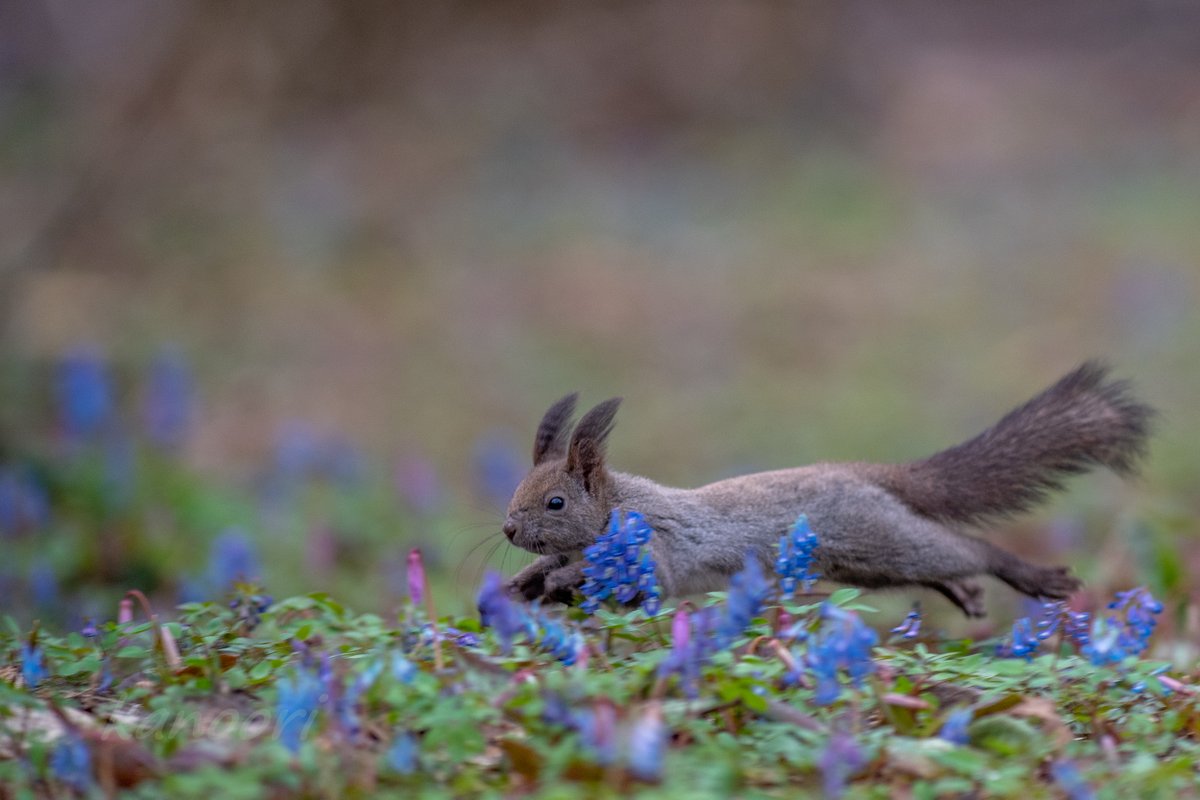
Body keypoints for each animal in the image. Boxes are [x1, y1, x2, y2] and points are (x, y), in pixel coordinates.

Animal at [496, 362, 1152, 618]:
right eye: (516, 492)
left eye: (555, 502)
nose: (507, 528)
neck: (620, 504)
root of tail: (864, 472)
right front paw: (520, 587)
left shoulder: (653, 545)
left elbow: (637, 574)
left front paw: (556, 580)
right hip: (871, 561)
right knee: (944, 565)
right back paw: (965, 593)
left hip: (880, 539)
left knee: (967, 549)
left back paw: (1030, 576)